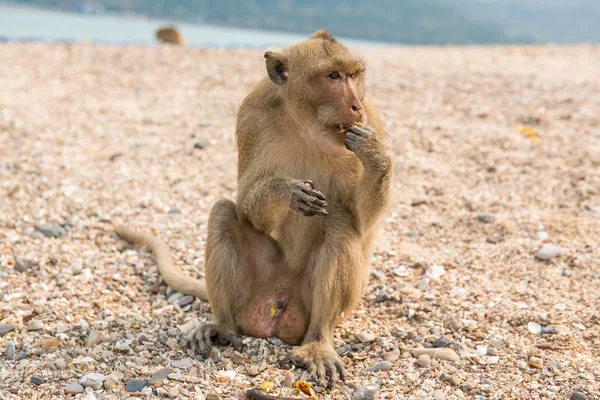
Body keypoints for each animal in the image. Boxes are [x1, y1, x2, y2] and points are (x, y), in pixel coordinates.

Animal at [116, 28, 394, 388]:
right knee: (223, 213)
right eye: (333, 76)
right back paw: (222, 325)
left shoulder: (373, 121)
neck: (308, 124)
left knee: (340, 224)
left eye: (354, 75)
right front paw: (287, 192)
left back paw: (319, 341)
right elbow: (249, 207)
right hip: (257, 286)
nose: (355, 105)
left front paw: (373, 153)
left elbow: (362, 223)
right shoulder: (251, 117)